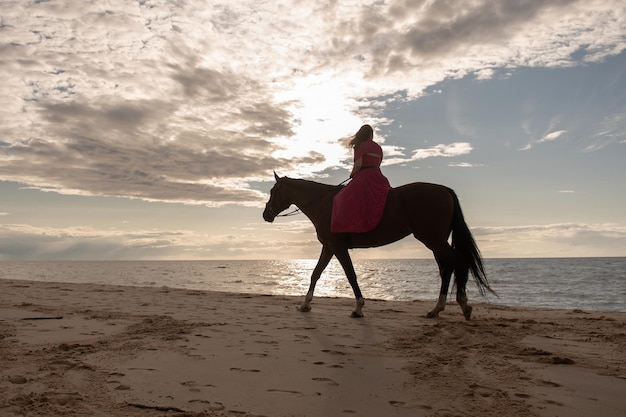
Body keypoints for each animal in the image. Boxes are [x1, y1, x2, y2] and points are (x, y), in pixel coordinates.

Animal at [260, 172, 490, 318]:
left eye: (272, 191)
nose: (265, 214)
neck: (325, 204)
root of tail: (444, 190)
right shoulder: (329, 247)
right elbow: (315, 273)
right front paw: (305, 304)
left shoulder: (337, 247)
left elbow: (350, 274)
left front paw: (359, 308)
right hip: (436, 241)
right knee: (447, 268)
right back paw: (438, 309)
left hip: (432, 239)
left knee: (456, 263)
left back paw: (462, 304)